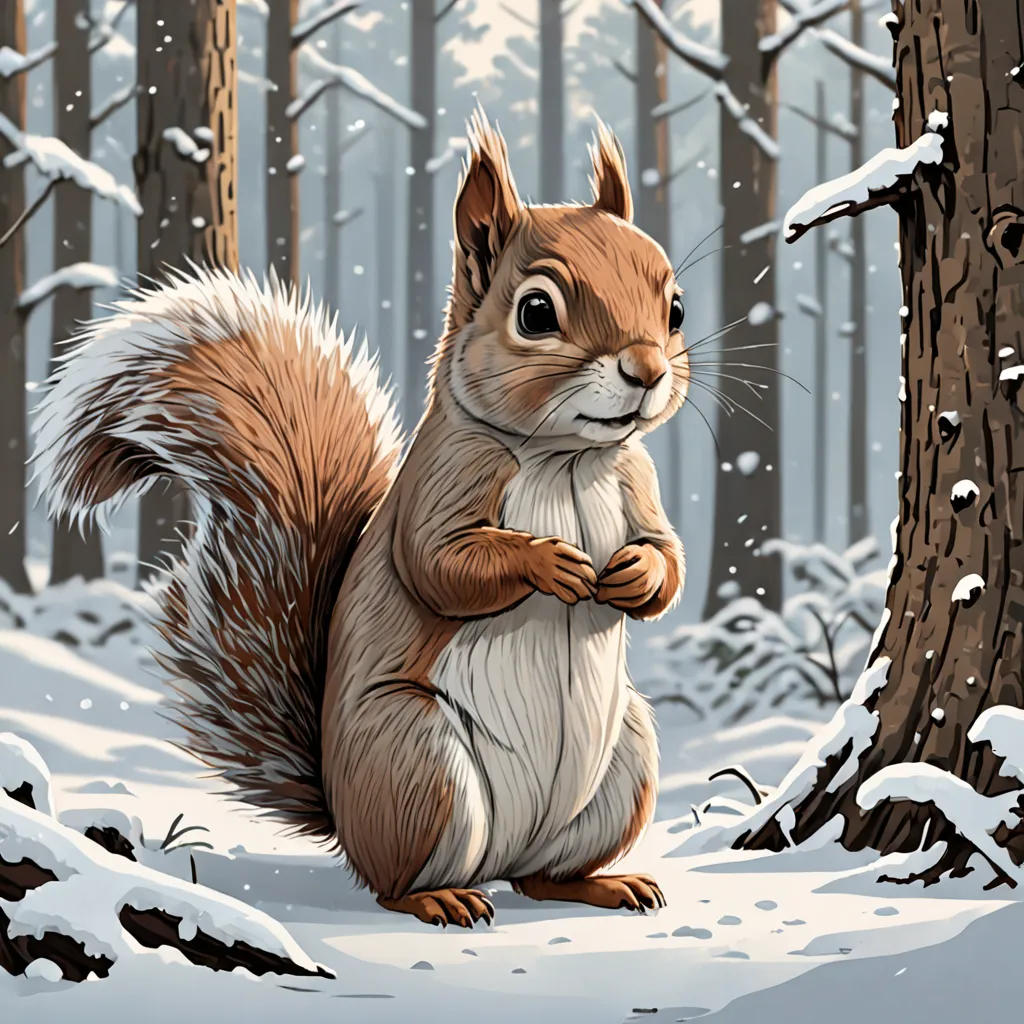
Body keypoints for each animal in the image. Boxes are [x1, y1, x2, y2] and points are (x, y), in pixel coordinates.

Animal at [34, 111, 689, 928]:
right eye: (536, 312)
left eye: (675, 308)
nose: (647, 369)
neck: (567, 457)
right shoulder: (441, 482)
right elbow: (441, 566)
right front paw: (548, 561)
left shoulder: (639, 481)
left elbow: (667, 555)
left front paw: (636, 575)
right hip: (417, 761)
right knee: (393, 883)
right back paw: (440, 896)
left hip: (623, 761)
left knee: (544, 876)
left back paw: (601, 883)